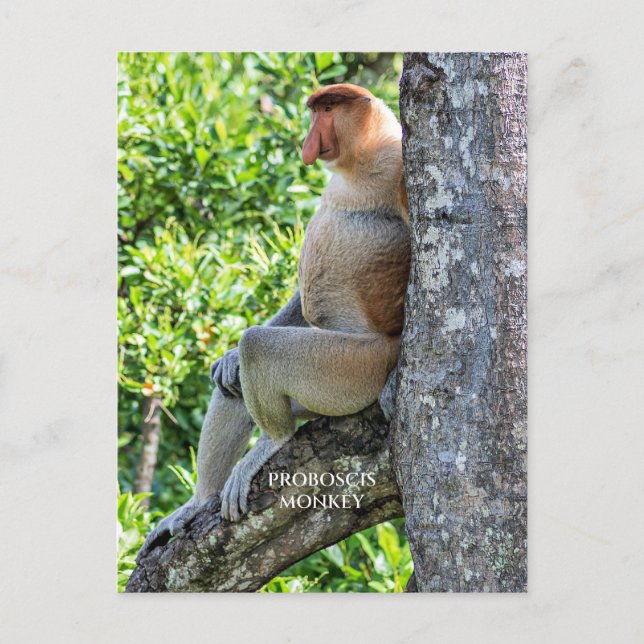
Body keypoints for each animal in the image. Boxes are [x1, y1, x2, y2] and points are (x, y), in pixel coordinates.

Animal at [138, 83, 410, 558]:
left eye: (327, 109)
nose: (308, 142)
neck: (361, 162)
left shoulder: (401, 168)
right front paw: (226, 358)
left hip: (352, 369)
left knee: (259, 347)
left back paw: (271, 441)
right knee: (233, 385)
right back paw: (198, 501)